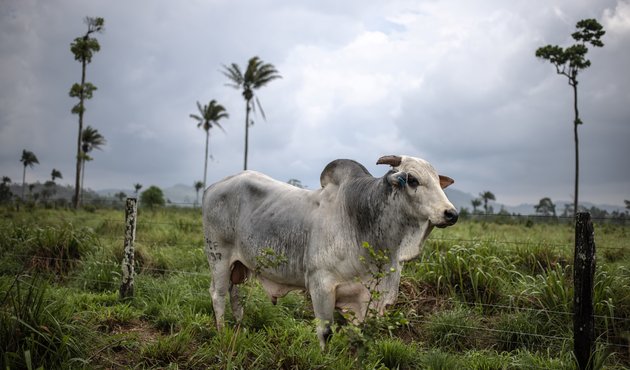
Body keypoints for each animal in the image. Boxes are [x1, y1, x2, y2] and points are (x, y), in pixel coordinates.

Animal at [202, 155, 460, 348]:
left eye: (438, 182)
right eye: (413, 180)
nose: (451, 213)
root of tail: (212, 187)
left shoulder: (363, 297)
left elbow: (358, 336)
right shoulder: (321, 285)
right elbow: (325, 331)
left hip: (239, 265)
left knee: (235, 294)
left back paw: (239, 327)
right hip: (218, 257)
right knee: (219, 294)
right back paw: (222, 333)